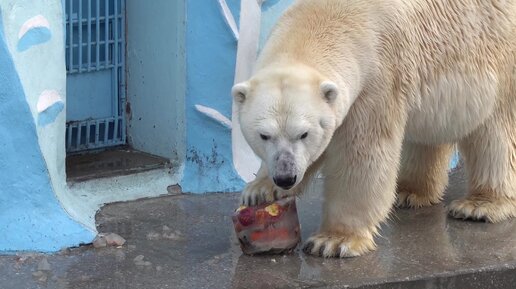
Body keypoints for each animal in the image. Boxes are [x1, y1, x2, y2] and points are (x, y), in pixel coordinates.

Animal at [232, 0, 512, 256]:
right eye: (264, 135)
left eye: (304, 133)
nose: (285, 177)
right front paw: (259, 191)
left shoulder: (377, 77)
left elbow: (362, 154)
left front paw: (334, 240)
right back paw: (410, 192)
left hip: (500, 55)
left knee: (496, 132)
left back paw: (480, 205)